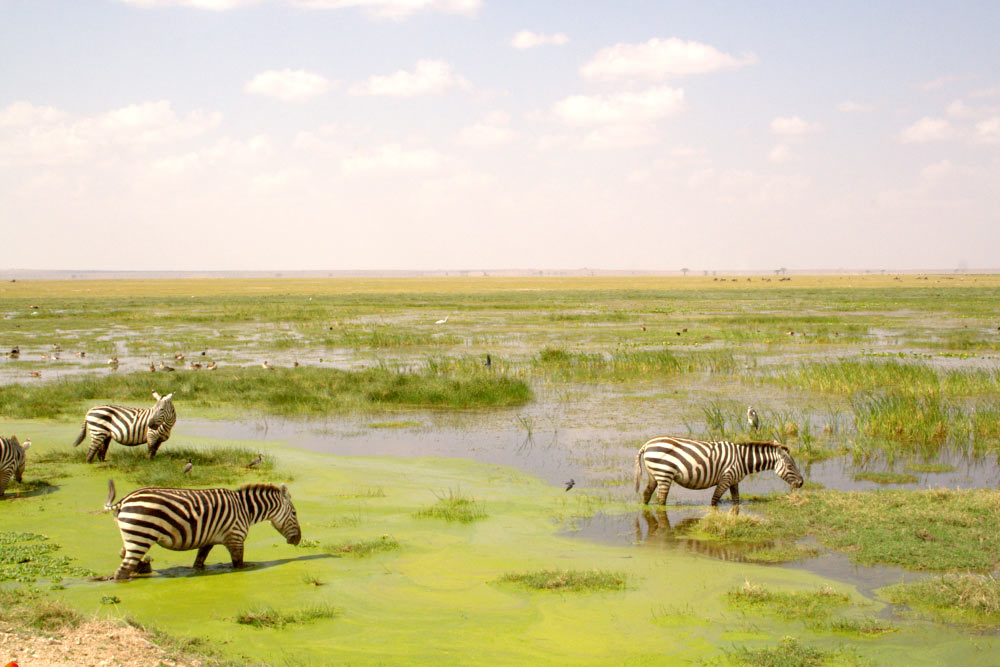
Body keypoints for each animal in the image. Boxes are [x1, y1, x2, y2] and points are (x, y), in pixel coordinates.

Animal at [105, 478, 302, 580]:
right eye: (294, 512)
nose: (298, 539)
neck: (246, 509)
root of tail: (123, 501)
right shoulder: (236, 538)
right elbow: (238, 564)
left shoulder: (208, 540)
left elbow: (198, 562)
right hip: (141, 535)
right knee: (122, 570)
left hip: (134, 535)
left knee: (123, 554)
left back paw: (143, 567)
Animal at [632, 438, 804, 512]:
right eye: (790, 466)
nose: (802, 483)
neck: (742, 460)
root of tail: (647, 444)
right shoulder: (726, 478)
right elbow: (714, 501)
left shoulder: (734, 481)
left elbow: (736, 501)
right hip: (664, 474)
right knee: (661, 499)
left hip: (654, 475)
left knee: (647, 494)